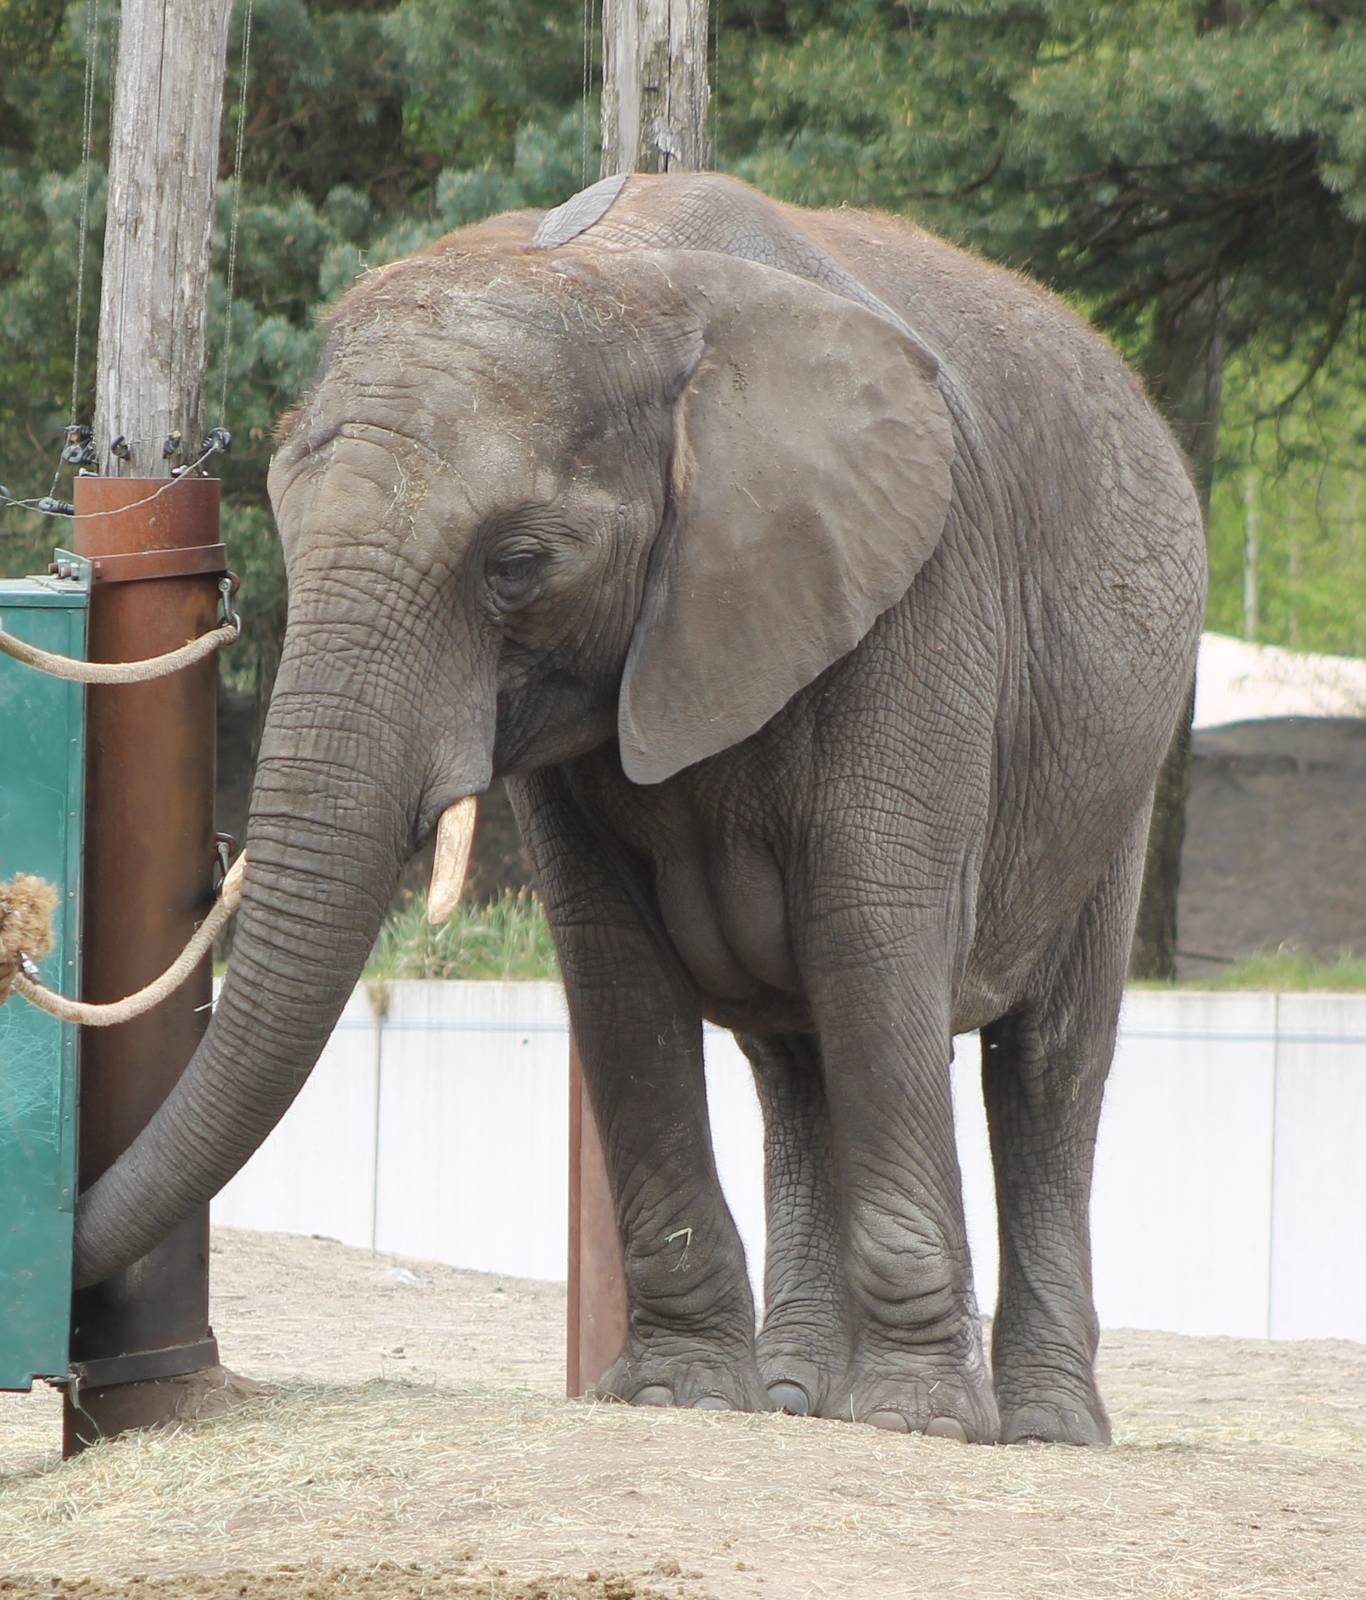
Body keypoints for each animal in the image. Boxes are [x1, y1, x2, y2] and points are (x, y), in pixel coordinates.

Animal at [71, 172, 1205, 1446]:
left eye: (516, 562)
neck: (623, 280)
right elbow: (611, 969)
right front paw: (682, 1394)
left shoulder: (919, 592)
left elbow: (873, 929)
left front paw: (915, 1422)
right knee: (794, 1063)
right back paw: (797, 1397)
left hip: (1121, 757)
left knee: (1045, 1064)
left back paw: (1046, 1426)